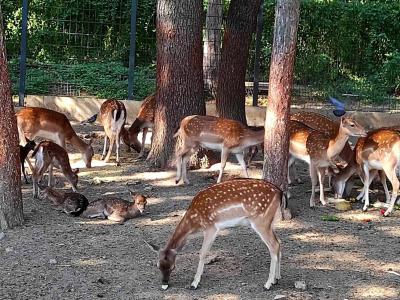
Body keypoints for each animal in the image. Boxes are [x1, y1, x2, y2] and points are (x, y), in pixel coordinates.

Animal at [146, 178, 284, 290]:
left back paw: (267, 284)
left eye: (173, 267)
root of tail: (279, 192)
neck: (194, 222)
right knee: (279, 242)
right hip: (270, 222)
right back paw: (277, 279)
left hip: (261, 220)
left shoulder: (211, 227)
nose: (164, 283)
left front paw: (194, 283)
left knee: (273, 245)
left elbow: (202, 253)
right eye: (158, 266)